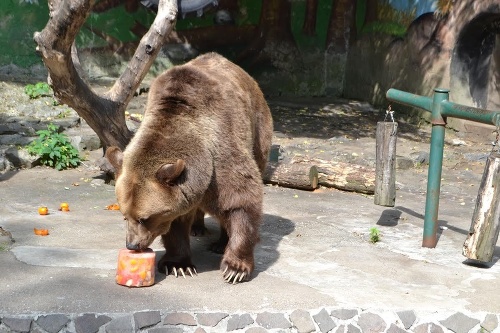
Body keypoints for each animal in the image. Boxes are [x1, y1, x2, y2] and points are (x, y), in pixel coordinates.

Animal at [106, 52, 274, 282]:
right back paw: (197, 227)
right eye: (125, 215)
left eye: (144, 218)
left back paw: (220, 243)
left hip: (258, 128)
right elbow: (176, 221)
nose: (132, 244)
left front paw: (235, 268)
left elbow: (240, 200)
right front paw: (179, 264)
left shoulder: (221, 154)